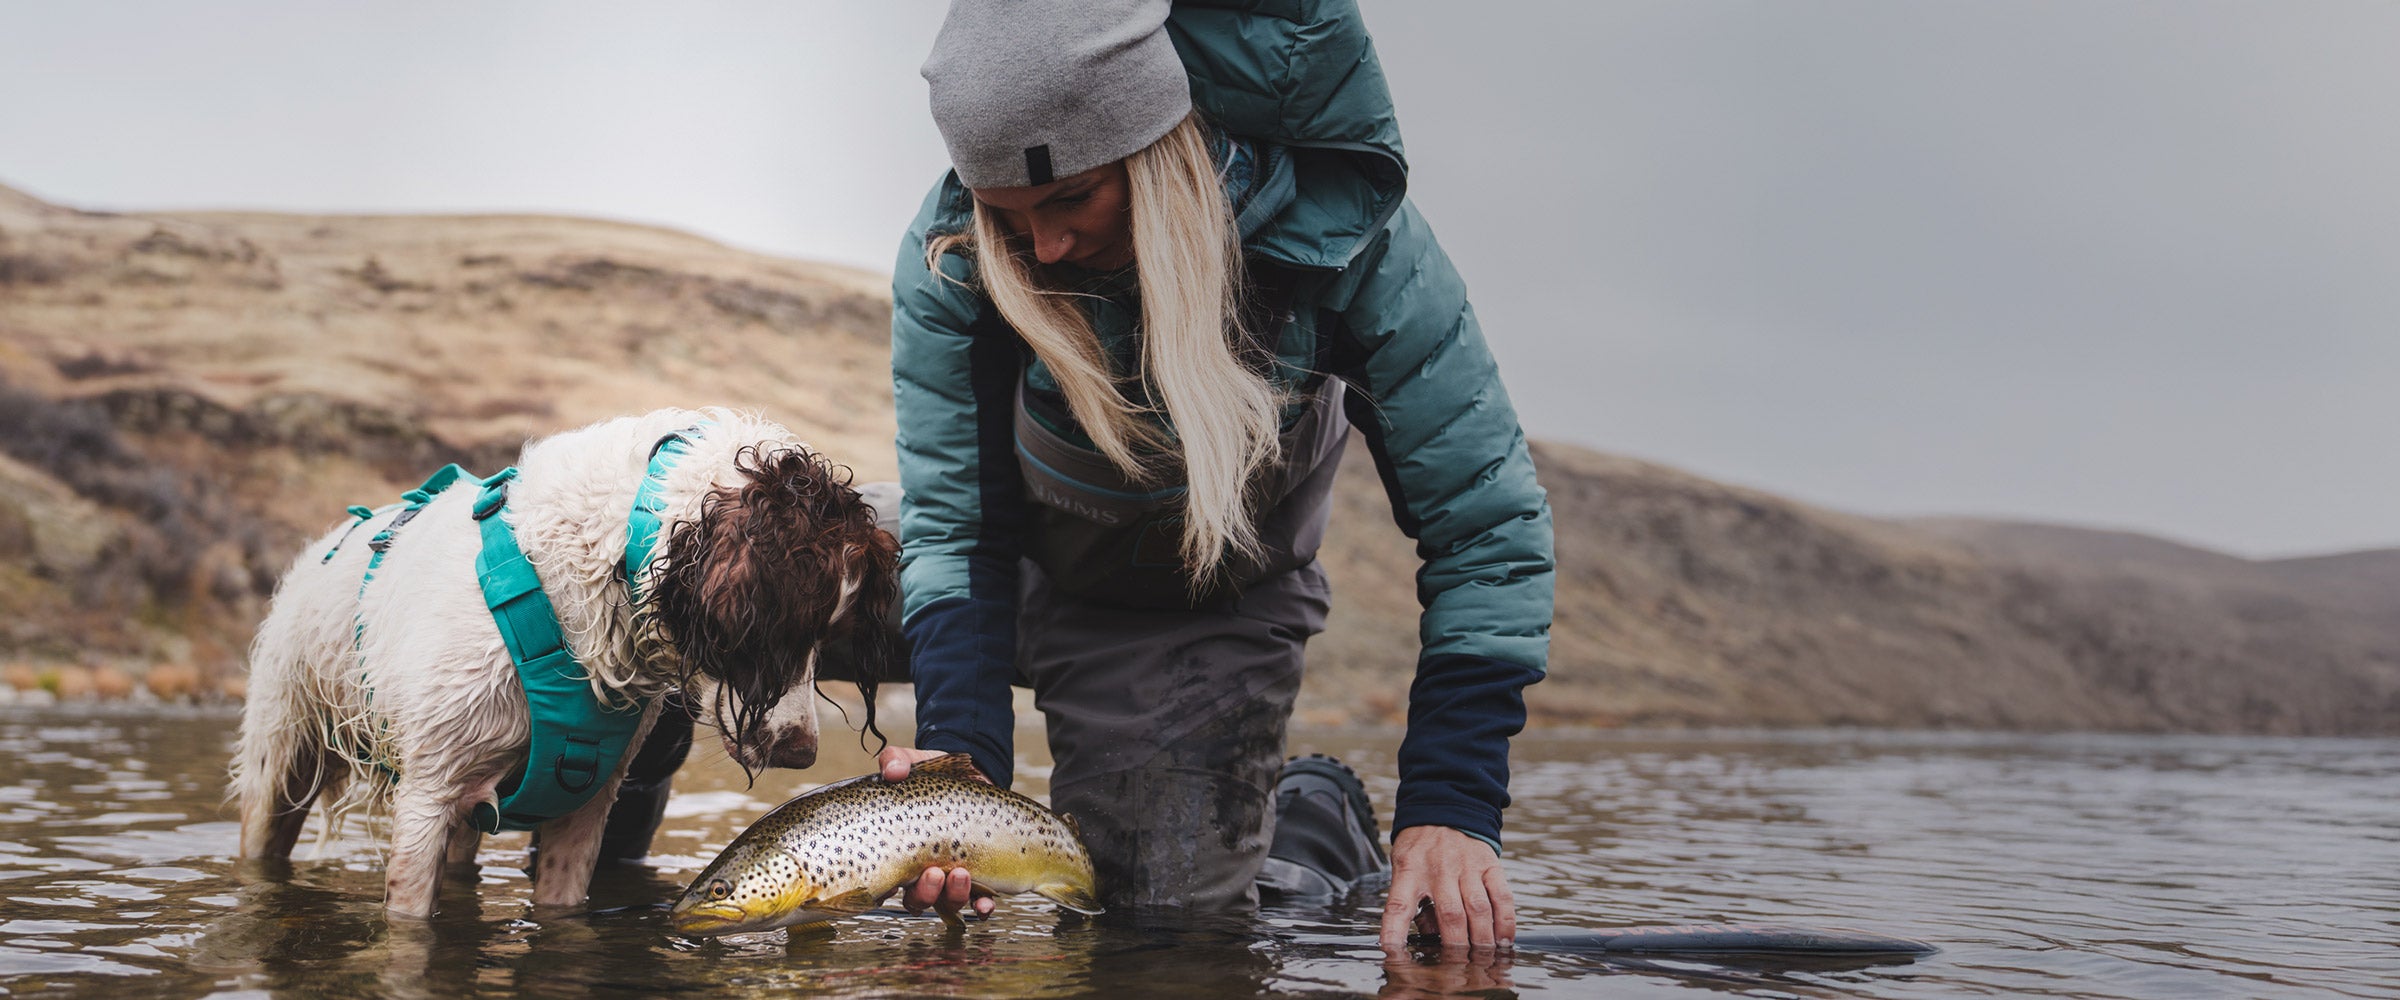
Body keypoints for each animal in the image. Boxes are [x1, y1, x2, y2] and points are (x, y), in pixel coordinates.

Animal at [226, 405, 892, 911]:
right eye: (777, 629)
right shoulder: (428, 795)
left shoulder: (585, 807)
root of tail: (328, 542)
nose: (801, 753)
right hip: (282, 759)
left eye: (830, 638)